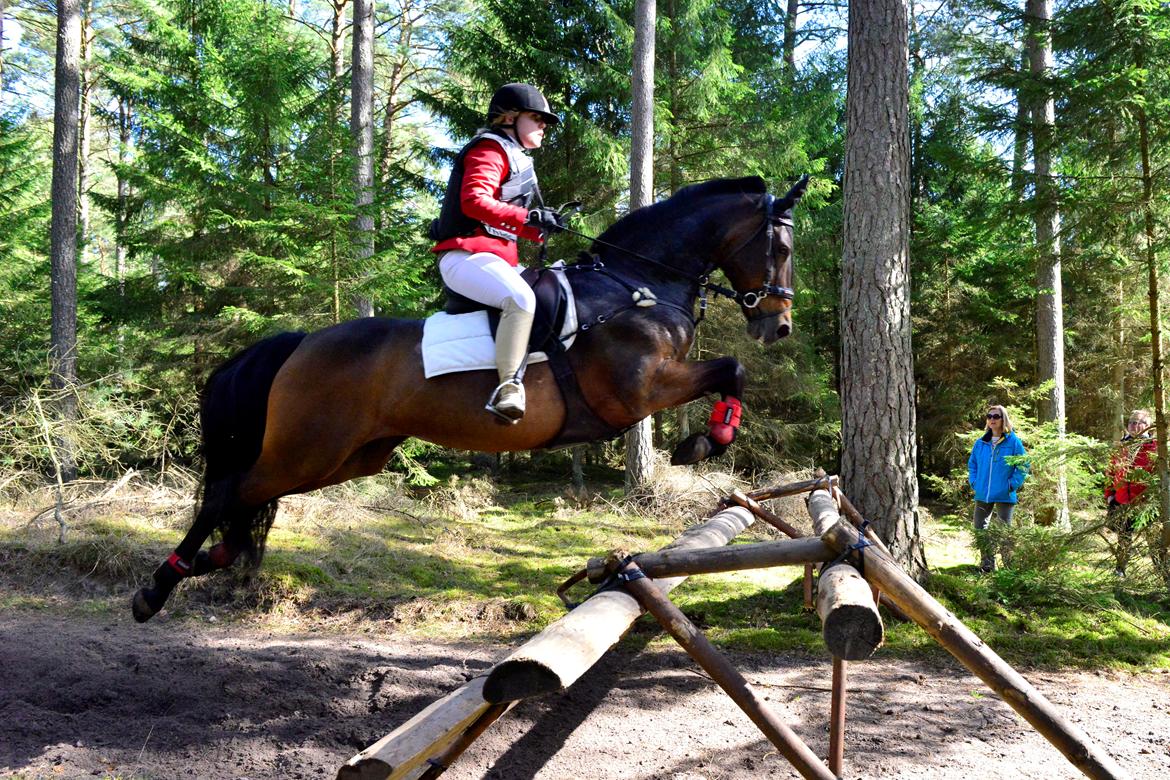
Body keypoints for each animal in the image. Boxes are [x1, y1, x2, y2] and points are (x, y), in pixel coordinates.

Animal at [128, 175, 804, 622]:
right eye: (781, 249)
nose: (779, 325)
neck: (636, 284)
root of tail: (300, 343)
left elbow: (731, 371)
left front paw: (708, 438)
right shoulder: (637, 391)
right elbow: (732, 368)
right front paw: (706, 441)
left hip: (346, 457)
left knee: (247, 500)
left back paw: (214, 559)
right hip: (309, 448)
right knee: (228, 495)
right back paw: (157, 588)